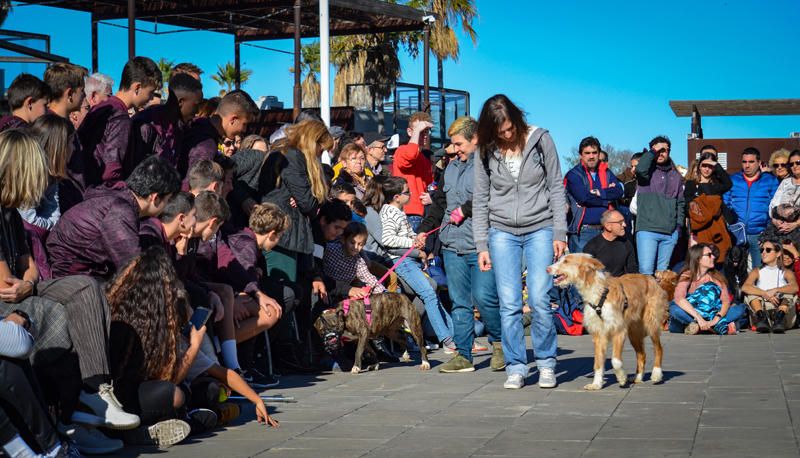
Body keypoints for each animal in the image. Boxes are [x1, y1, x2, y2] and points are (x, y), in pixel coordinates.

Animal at [552, 254, 668, 390]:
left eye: (566, 261)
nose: (547, 268)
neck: (597, 292)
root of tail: (651, 278)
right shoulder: (599, 334)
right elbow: (598, 362)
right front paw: (596, 384)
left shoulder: (619, 330)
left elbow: (615, 361)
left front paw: (622, 378)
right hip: (633, 332)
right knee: (642, 354)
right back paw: (638, 377)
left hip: (651, 323)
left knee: (659, 349)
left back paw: (656, 374)